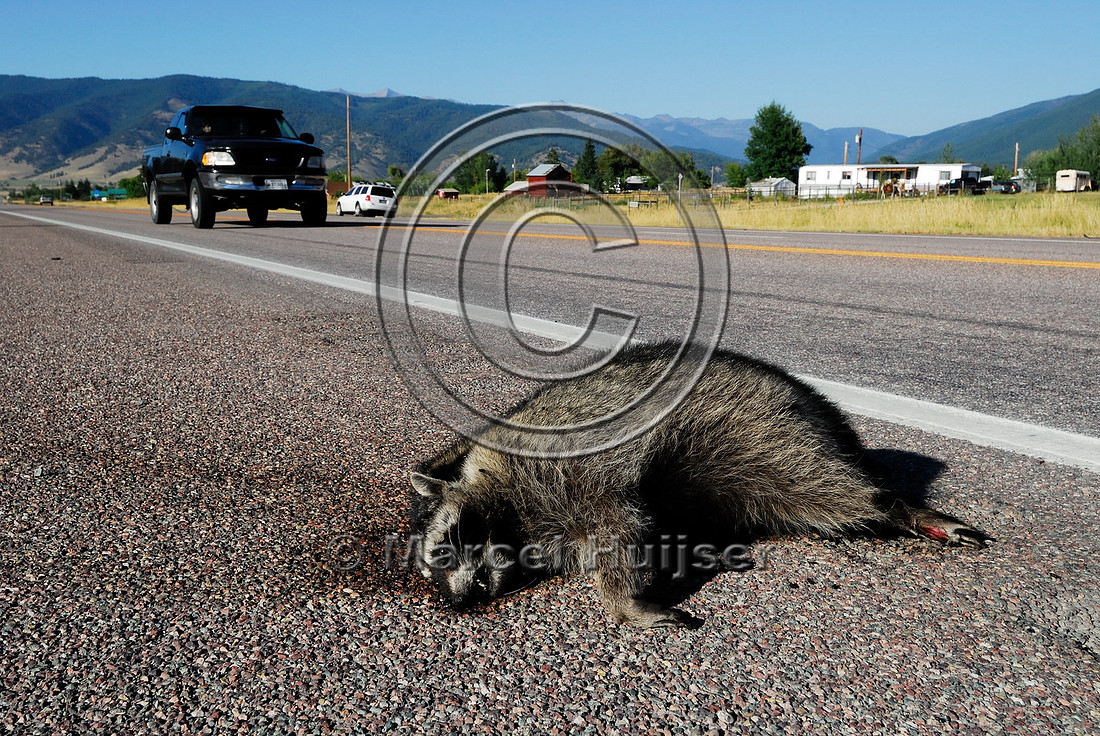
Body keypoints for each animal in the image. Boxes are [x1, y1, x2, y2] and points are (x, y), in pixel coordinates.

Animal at [409, 342, 987, 628]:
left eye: (442, 549)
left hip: (771, 434)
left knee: (834, 491)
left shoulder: (577, 466)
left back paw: (899, 507)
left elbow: (621, 526)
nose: (458, 601)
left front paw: (625, 603)